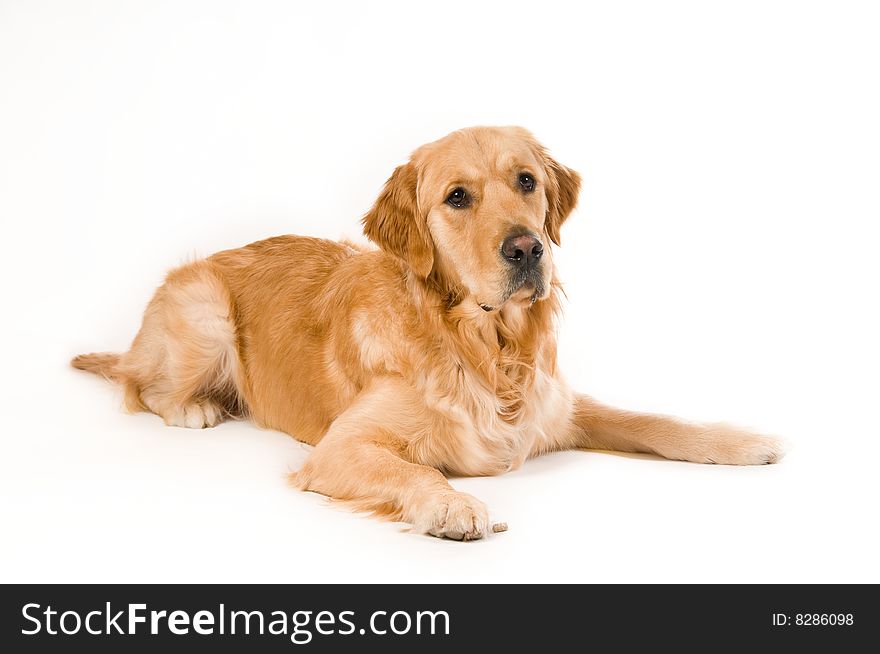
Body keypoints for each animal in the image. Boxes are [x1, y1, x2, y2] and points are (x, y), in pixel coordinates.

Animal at [70, 127, 784, 540]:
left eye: (527, 181)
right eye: (457, 197)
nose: (527, 249)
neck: (487, 346)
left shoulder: (561, 406)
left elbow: (654, 421)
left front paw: (741, 441)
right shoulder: (339, 447)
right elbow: (414, 471)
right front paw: (452, 507)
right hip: (206, 309)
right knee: (140, 386)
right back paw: (194, 406)